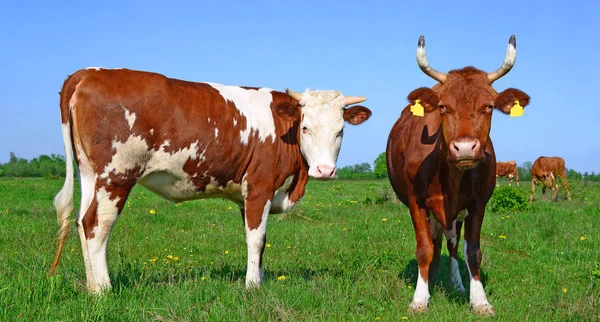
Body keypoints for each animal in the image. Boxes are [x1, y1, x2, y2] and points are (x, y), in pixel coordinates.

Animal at [50, 68, 370, 294]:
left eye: (341, 130)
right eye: (305, 127)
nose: (325, 170)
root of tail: (90, 72)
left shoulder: (247, 195)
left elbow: (260, 240)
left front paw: (259, 278)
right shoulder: (260, 186)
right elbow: (256, 239)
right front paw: (252, 286)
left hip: (90, 174)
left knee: (81, 222)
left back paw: (91, 287)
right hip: (116, 175)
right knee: (96, 225)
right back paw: (104, 290)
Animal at [386, 35, 528, 314]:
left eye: (489, 106)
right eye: (443, 106)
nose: (464, 147)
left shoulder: (477, 204)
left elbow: (472, 251)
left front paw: (479, 300)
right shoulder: (416, 202)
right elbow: (424, 249)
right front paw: (419, 299)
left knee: (451, 244)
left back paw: (456, 284)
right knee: (436, 242)